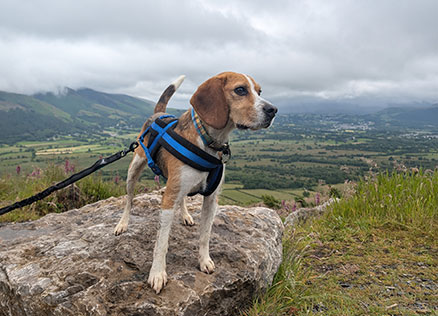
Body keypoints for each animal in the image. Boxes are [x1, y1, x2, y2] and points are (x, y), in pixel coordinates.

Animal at [113, 71, 278, 294]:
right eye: (240, 90)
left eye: (259, 92)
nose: (273, 110)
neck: (209, 141)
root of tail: (157, 115)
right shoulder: (168, 199)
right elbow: (161, 242)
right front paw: (157, 273)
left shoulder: (211, 199)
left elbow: (205, 235)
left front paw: (204, 260)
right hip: (134, 169)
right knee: (129, 199)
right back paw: (123, 223)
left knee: (182, 199)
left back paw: (185, 215)